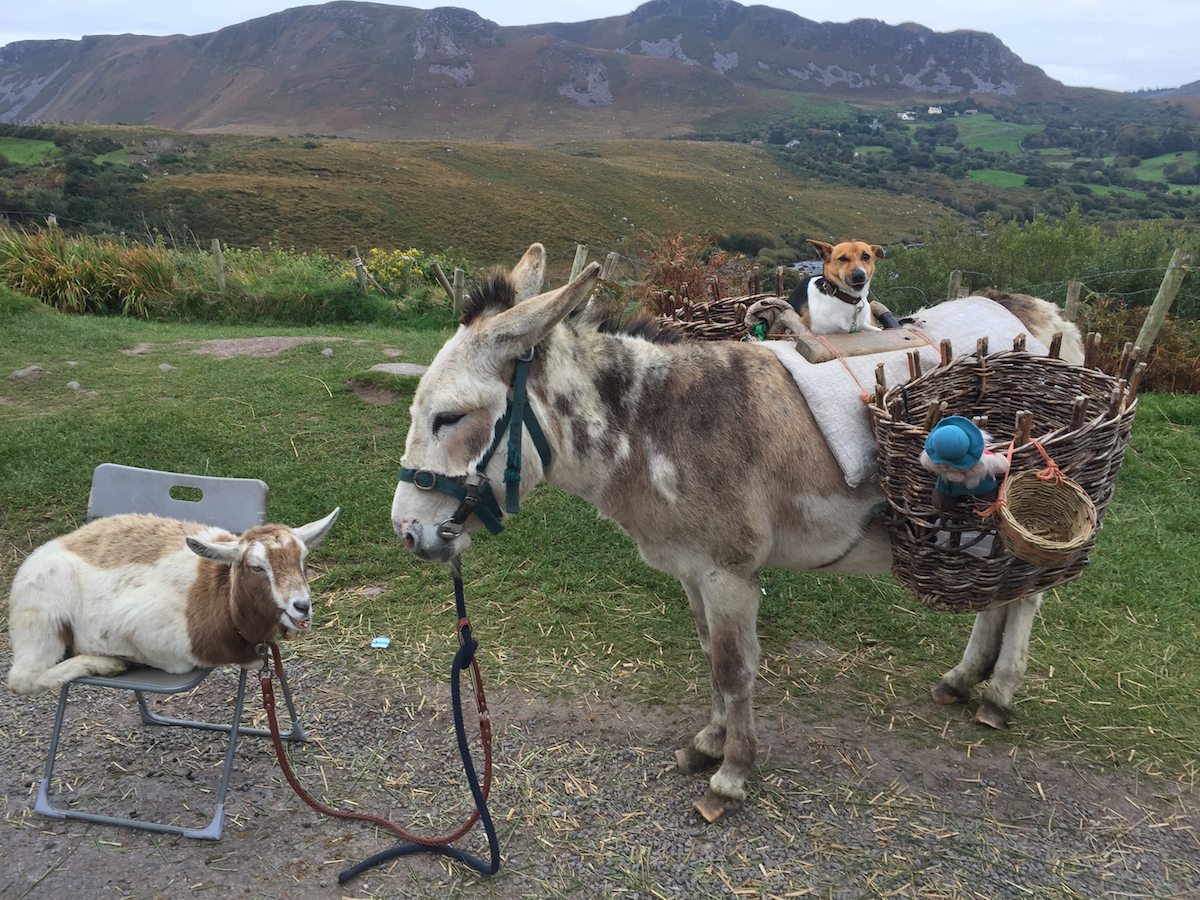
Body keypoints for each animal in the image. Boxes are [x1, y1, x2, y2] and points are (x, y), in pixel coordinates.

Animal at [8, 508, 338, 696]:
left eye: (303, 559)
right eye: (257, 567)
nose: (302, 606)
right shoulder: (141, 631)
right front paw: (119, 657)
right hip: (41, 614)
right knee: (21, 678)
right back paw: (107, 664)